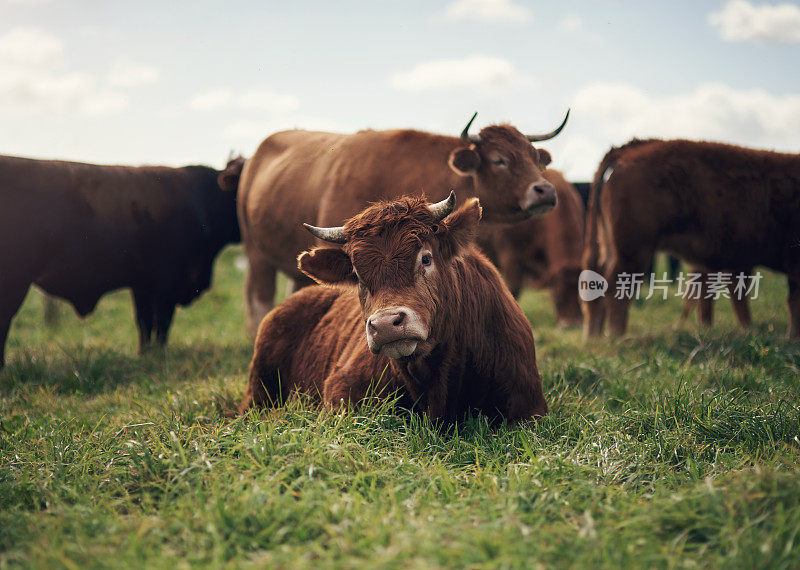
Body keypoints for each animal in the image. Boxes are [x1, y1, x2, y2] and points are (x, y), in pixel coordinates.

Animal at [0, 152, 244, 364]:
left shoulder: (143, 284)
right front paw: (159, 354)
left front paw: (145, 354)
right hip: (15, 281)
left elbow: (145, 322)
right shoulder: (166, 283)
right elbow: (162, 322)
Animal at [580, 139, 800, 338]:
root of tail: (629, 150)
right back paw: (617, 337)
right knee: (615, 288)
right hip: (633, 250)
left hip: (611, 246)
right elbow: (792, 301)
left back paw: (595, 336)